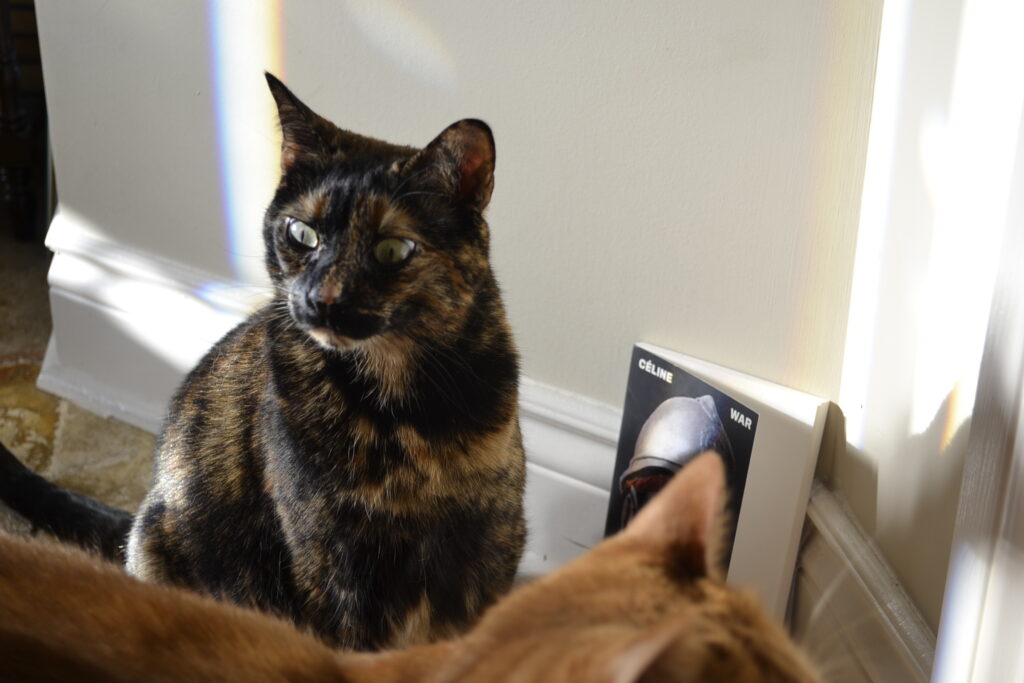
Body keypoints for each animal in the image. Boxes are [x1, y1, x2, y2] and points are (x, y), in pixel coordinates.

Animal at [0, 74, 528, 651]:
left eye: (392, 250)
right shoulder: (329, 562)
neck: (401, 412)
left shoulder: (489, 546)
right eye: (301, 233)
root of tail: (142, 511)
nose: (322, 298)